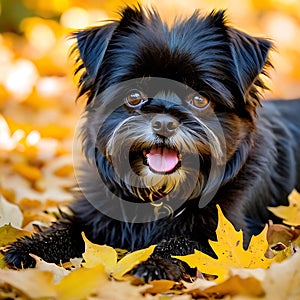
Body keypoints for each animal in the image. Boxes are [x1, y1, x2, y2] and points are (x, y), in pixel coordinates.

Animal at [4, 4, 300, 282]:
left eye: (199, 100)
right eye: (134, 96)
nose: (164, 123)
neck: (158, 194)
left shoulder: (223, 232)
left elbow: (179, 244)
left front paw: (153, 263)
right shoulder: (92, 215)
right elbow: (68, 228)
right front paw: (31, 247)